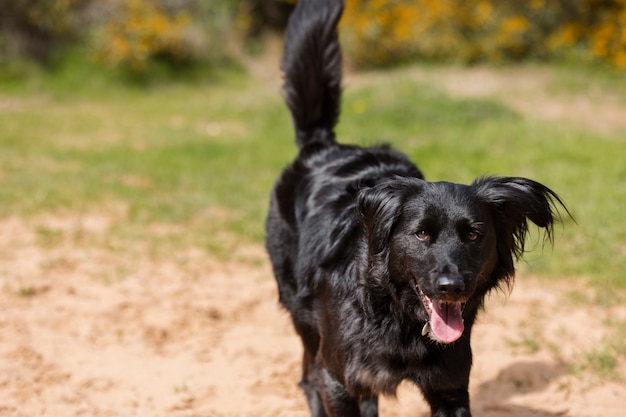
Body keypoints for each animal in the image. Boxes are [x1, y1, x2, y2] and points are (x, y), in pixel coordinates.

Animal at [264, 1, 564, 414]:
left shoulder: (450, 387)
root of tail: (322, 145)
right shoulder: (339, 378)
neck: (395, 312)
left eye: (474, 236)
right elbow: (327, 382)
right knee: (308, 375)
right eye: (421, 233)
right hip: (304, 316)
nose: (451, 287)